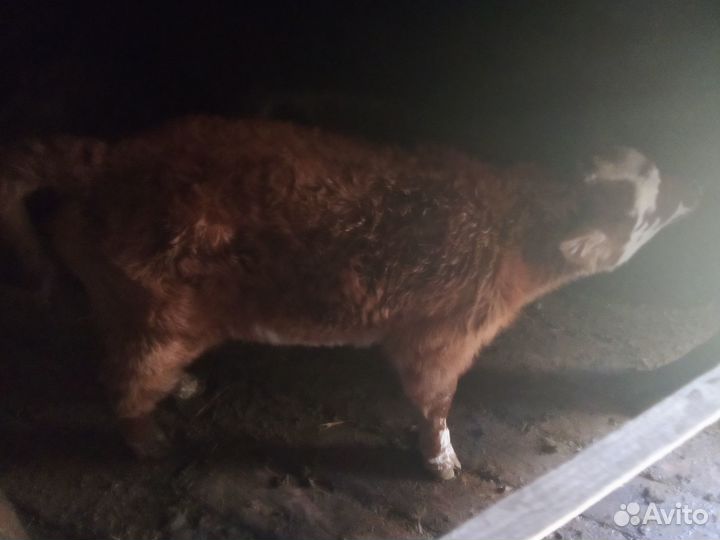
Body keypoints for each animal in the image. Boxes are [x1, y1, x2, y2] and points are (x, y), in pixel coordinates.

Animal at [0, 116, 698, 479]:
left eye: (653, 170)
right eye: (648, 209)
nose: (691, 193)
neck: (517, 218)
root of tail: (106, 159)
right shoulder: (442, 336)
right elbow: (435, 400)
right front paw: (441, 457)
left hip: (133, 303)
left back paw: (183, 385)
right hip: (156, 311)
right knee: (124, 378)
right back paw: (144, 437)